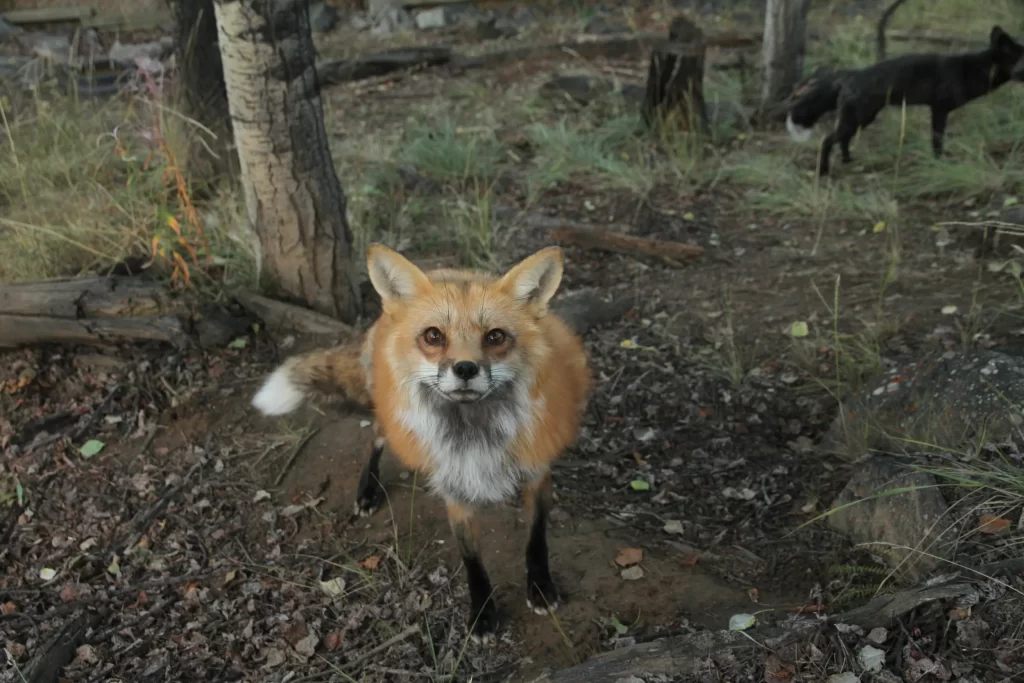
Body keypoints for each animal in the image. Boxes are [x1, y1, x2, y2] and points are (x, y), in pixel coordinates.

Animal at [251, 244, 593, 643]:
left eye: (495, 337)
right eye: (433, 336)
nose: (465, 369)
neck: (476, 433)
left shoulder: (537, 470)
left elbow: (536, 538)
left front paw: (539, 586)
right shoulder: (455, 489)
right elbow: (472, 561)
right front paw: (482, 613)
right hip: (388, 412)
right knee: (375, 438)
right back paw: (367, 490)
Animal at [786, 26, 1019, 176]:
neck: (972, 70)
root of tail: (850, 74)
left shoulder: (937, 110)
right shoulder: (939, 109)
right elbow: (937, 140)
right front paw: (939, 162)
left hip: (861, 119)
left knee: (842, 140)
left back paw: (848, 160)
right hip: (858, 118)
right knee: (826, 141)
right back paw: (823, 171)